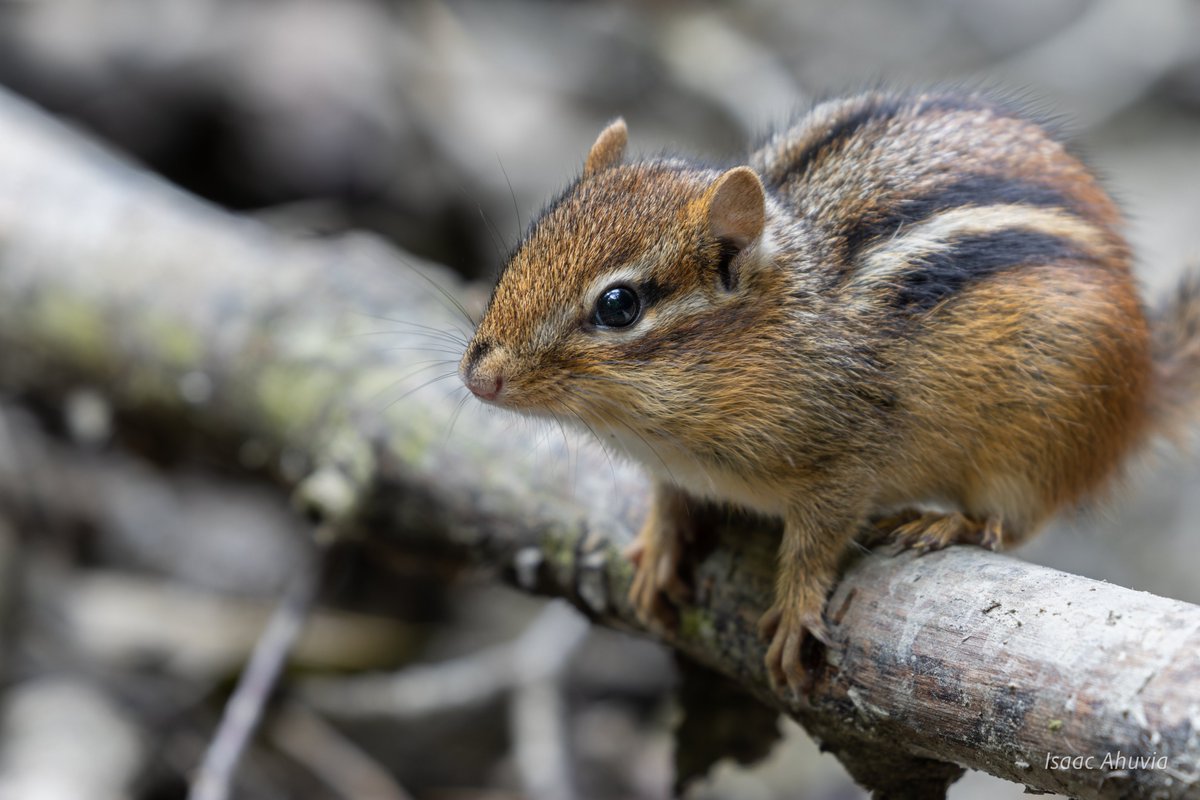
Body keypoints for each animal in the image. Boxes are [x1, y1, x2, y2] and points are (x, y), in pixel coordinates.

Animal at [458, 89, 1200, 692]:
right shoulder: (675, 467)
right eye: (525, 246)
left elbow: (819, 537)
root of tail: (1144, 381)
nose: (479, 377)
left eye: (619, 306)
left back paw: (949, 520)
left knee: (1016, 521)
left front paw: (794, 607)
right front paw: (660, 547)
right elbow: (669, 499)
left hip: (1042, 437)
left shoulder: (848, 457)